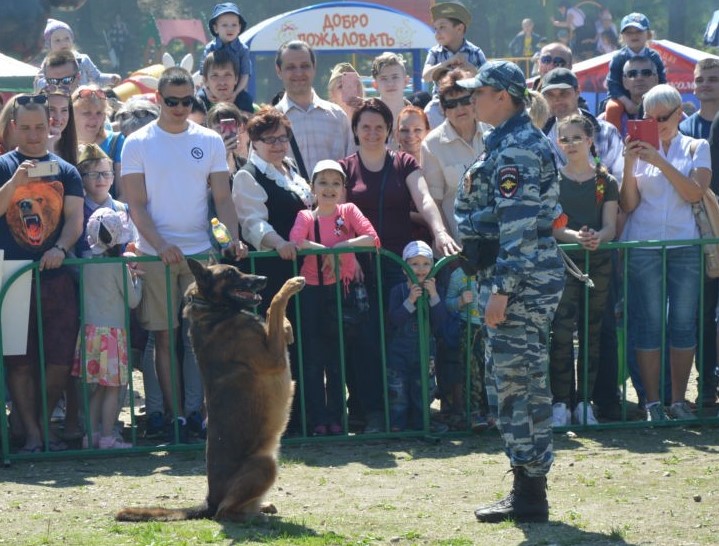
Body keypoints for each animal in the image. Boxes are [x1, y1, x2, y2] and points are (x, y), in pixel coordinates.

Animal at [114, 258, 304, 520]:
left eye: (239, 269)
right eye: (231, 273)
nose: (263, 278)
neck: (214, 310)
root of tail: (209, 500)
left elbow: (273, 316)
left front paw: (286, 320)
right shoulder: (274, 358)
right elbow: (274, 304)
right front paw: (290, 285)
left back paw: (263, 507)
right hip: (265, 463)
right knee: (224, 512)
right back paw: (255, 517)